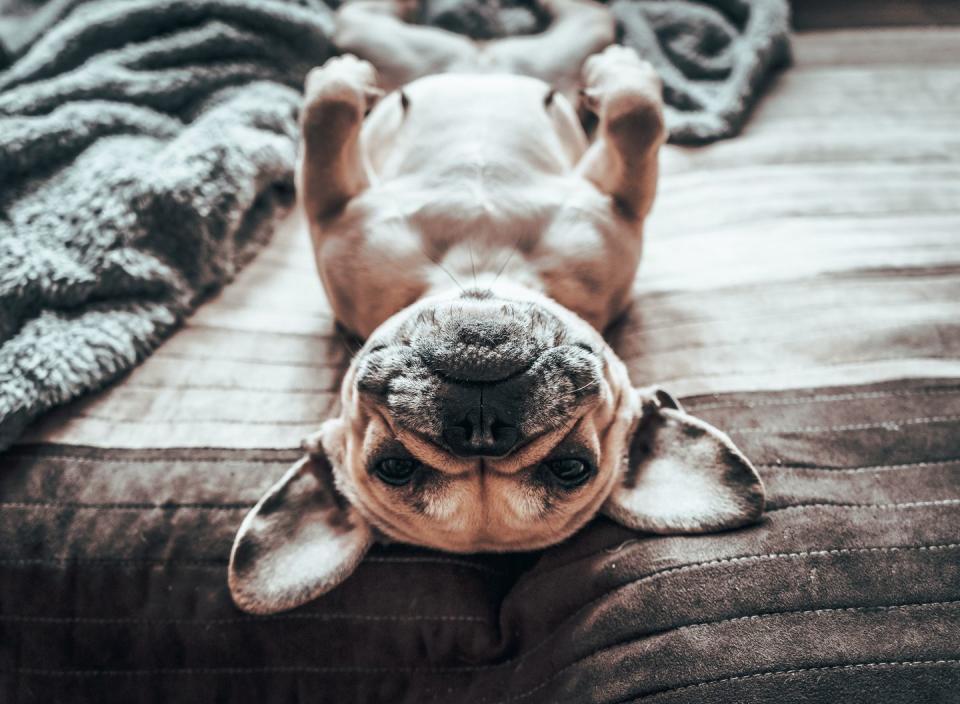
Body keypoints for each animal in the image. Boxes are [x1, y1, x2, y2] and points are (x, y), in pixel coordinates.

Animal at [229, 0, 760, 612]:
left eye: (571, 468)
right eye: (394, 468)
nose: (480, 426)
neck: (479, 264)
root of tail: (481, 58)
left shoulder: (616, 203)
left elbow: (637, 117)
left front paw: (624, 77)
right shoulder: (335, 210)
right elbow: (326, 121)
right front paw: (341, 82)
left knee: (583, 20)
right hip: (392, 43)